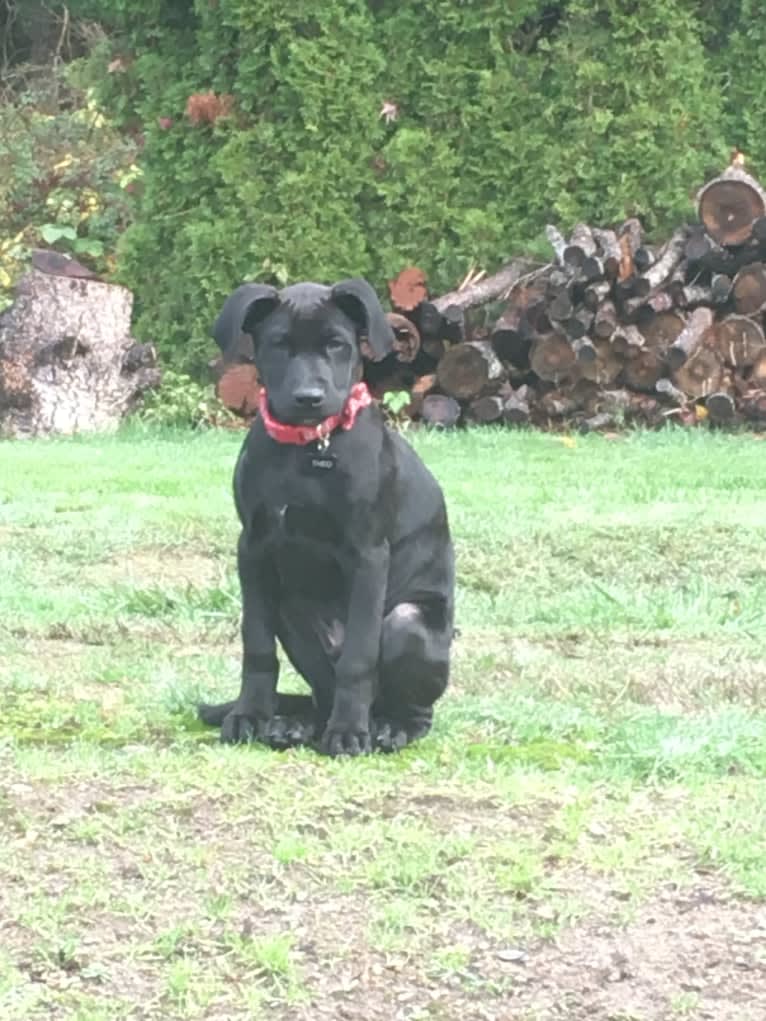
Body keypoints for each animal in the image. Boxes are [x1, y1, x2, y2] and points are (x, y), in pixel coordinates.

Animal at [199, 279, 455, 759]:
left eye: (337, 344)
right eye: (278, 344)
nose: (309, 398)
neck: (309, 448)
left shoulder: (369, 555)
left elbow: (359, 655)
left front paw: (349, 732)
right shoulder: (254, 549)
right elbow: (256, 645)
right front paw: (249, 715)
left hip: (408, 622)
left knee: (409, 709)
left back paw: (386, 728)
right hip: (289, 607)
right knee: (323, 691)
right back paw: (296, 726)